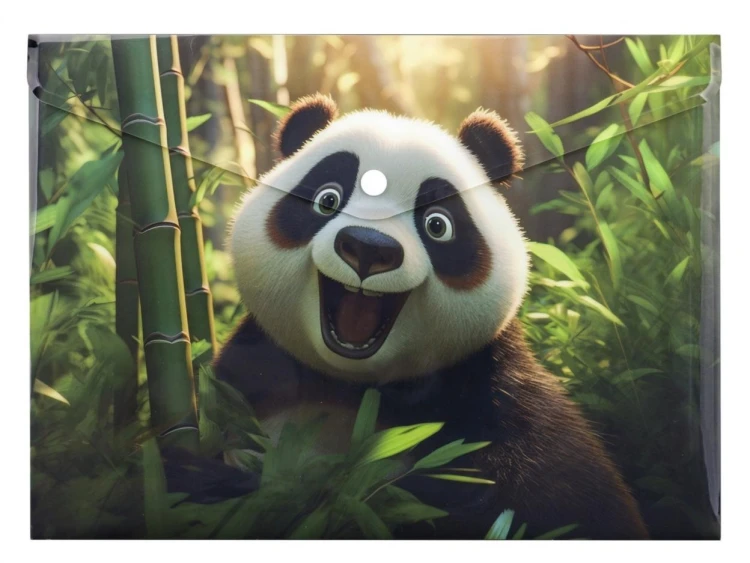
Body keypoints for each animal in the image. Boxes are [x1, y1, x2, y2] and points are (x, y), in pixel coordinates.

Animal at [214, 94, 648, 539]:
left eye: (437, 224)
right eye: (327, 199)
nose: (368, 247)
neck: (354, 386)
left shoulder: (496, 398)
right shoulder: (248, 381)